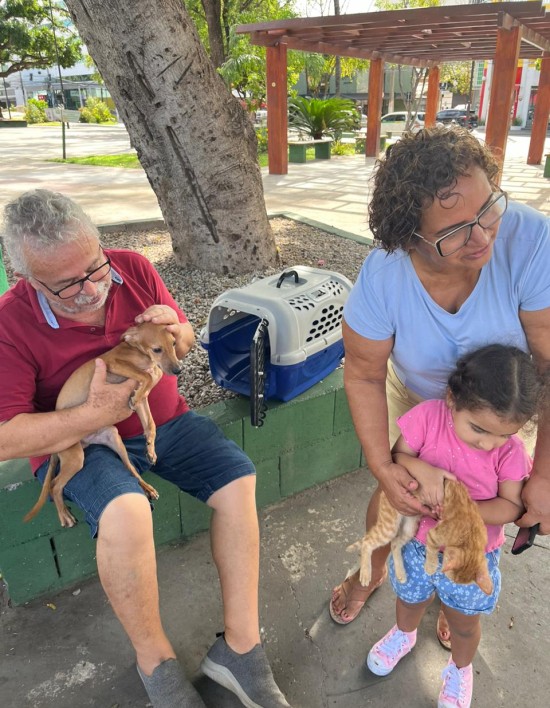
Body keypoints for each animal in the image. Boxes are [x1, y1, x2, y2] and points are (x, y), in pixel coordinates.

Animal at [24, 321, 183, 528]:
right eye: (157, 349)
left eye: (174, 343)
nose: (178, 370)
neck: (137, 352)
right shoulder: (115, 364)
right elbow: (146, 377)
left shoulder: (141, 401)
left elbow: (150, 424)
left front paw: (150, 449)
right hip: (75, 458)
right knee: (54, 485)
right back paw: (64, 514)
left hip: (114, 439)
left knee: (130, 468)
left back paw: (146, 488)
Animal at [347, 479, 493, 595]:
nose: (445, 574)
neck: (471, 533)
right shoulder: (435, 534)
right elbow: (432, 550)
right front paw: (430, 567)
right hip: (390, 526)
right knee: (367, 541)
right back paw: (366, 573)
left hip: (410, 527)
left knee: (394, 543)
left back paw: (401, 573)